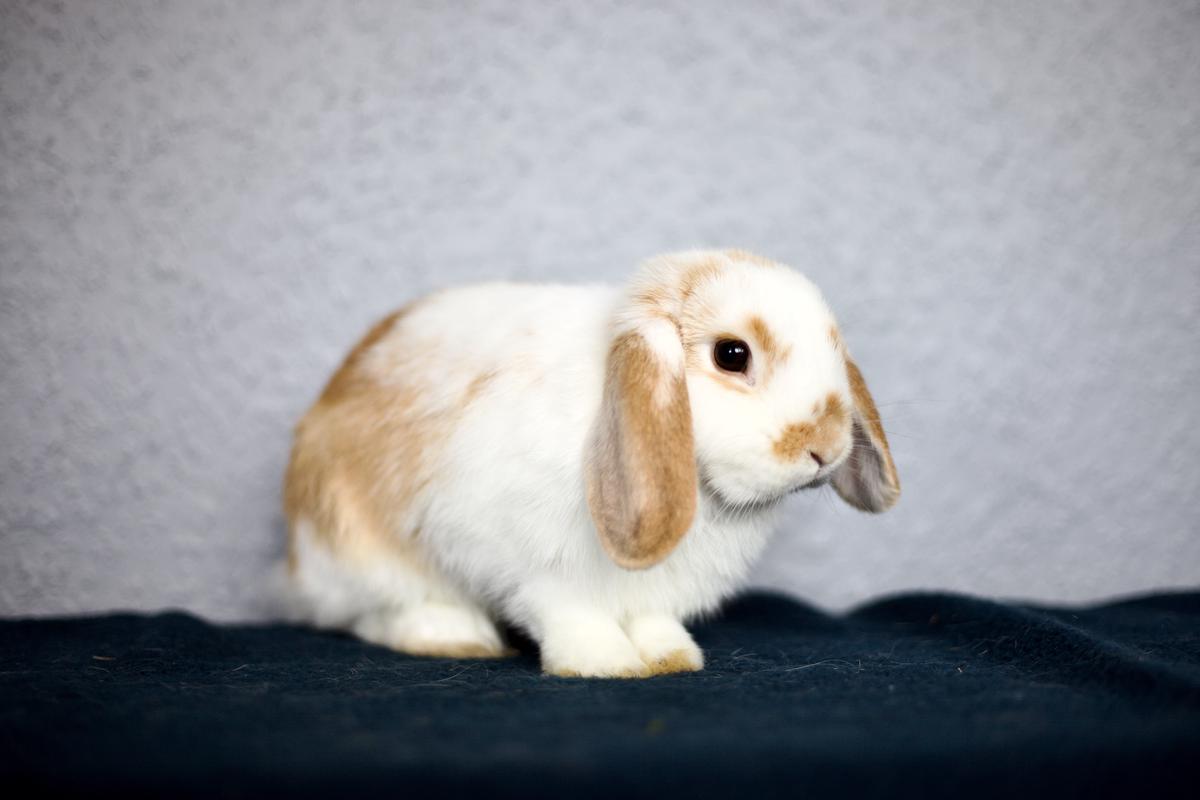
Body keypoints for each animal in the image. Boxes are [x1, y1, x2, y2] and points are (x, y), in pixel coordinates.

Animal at [283, 249, 899, 678]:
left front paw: (671, 657)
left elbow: (655, 622)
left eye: (833, 348)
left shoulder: (654, 592)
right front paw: (604, 664)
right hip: (362, 546)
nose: (825, 449)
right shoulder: (538, 570)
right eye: (732, 354)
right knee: (375, 612)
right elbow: (573, 616)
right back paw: (454, 636)